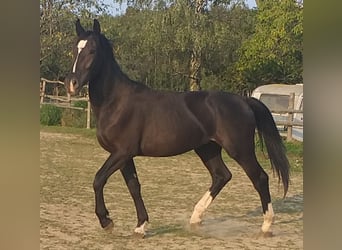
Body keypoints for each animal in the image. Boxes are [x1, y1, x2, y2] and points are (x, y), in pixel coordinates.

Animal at [64, 19, 288, 236]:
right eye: (74, 49)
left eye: (92, 50)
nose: (71, 84)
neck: (116, 102)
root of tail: (243, 100)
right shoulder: (124, 156)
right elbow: (134, 186)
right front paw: (140, 226)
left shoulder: (122, 152)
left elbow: (98, 179)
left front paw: (107, 222)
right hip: (207, 148)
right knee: (222, 175)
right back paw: (195, 218)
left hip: (240, 150)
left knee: (259, 177)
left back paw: (267, 225)